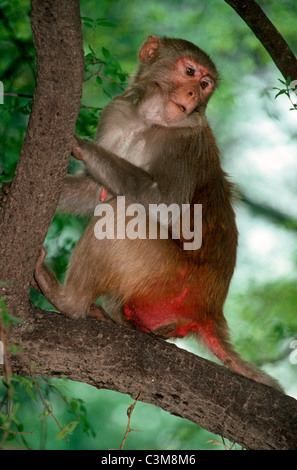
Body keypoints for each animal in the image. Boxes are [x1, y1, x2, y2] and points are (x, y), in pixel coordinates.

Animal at [33, 35, 280, 392]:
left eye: (204, 84)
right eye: (189, 72)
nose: (193, 95)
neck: (148, 120)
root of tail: (209, 310)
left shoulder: (185, 141)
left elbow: (167, 205)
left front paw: (80, 145)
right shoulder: (116, 113)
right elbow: (93, 191)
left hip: (167, 278)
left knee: (122, 212)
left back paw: (69, 302)